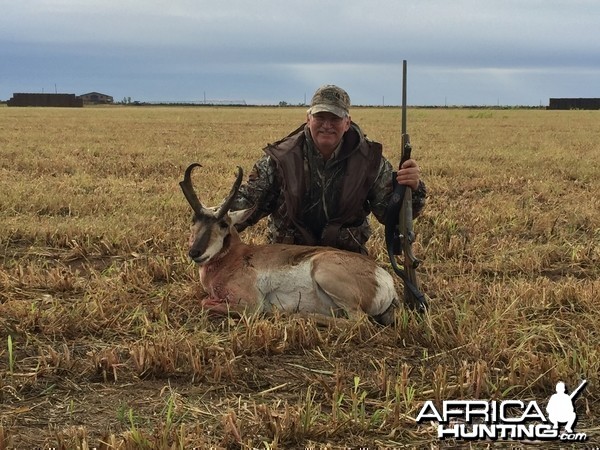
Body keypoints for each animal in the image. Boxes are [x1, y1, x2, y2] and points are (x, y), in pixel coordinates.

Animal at [180, 163, 400, 326]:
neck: (235, 257)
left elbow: (205, 302)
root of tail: (384, 278)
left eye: (224, 224)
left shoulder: (252, 305)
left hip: (324, 272)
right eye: (193, 220)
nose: (195, 252)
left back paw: (297, 315)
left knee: (360, 322)